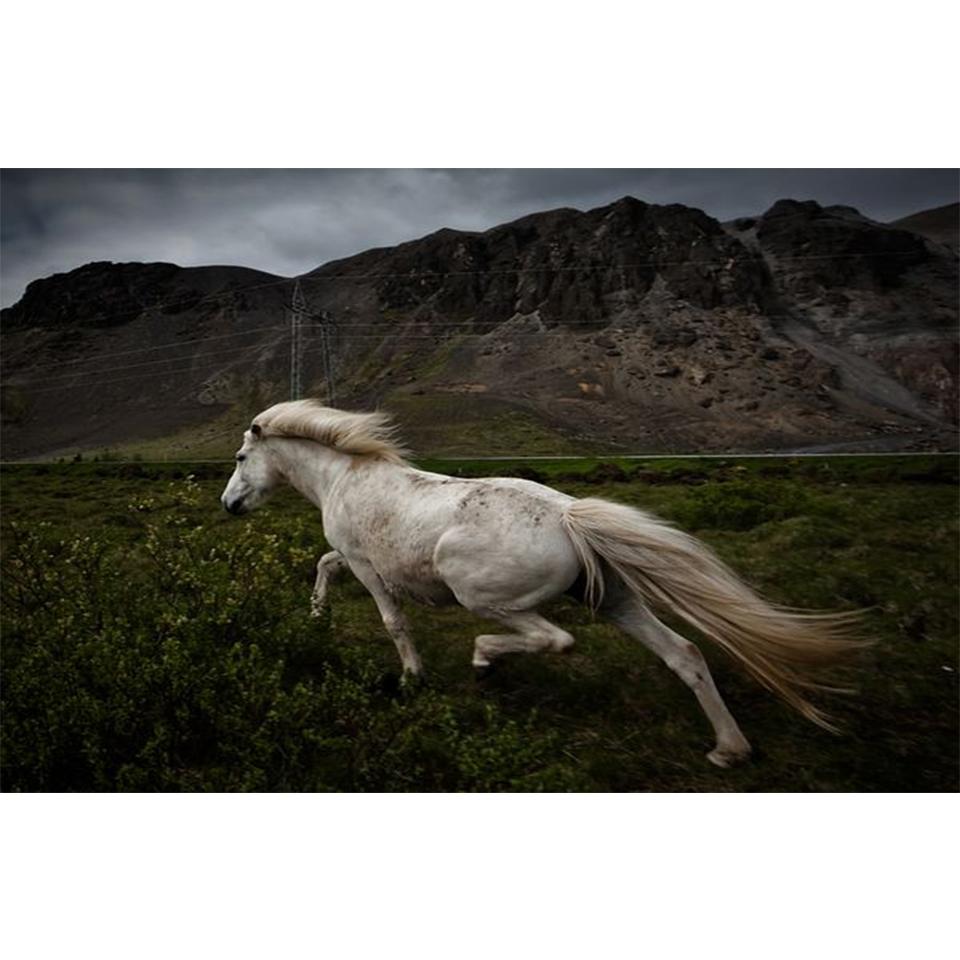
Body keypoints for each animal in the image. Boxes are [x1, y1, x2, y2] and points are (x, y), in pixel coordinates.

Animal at [220, 399, 864, 767]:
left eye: (240, 458)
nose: (229, 506)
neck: (344, 477)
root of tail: (569, 516)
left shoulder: (367, 565)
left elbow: (391, 620)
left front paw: (411, 678)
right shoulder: (352, 560)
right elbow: (323, 567)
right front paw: (316, 617)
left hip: (483, 594)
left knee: (554, 639)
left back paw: (485, 662)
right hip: (615, 601)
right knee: (684, 653)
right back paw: (729, 749)